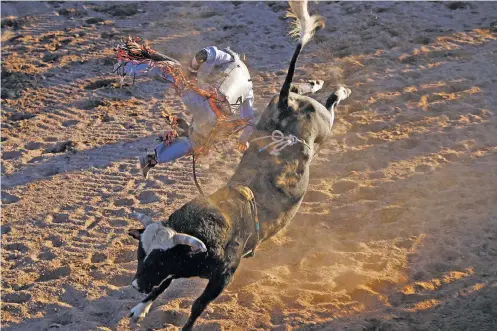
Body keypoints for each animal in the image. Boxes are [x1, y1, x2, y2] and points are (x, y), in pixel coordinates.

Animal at [128, 1, 352, 330]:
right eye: (140, 253)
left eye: (158, 258)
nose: (136, 285)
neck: (214, 227)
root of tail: (285, 105)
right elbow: (165, 283)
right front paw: (140, 307)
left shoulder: (224, 275)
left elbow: (196, 304)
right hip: (289, 108)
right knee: (298, 88)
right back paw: (316, 83)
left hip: (325, 124)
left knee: (331, 103)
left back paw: (339, 90)